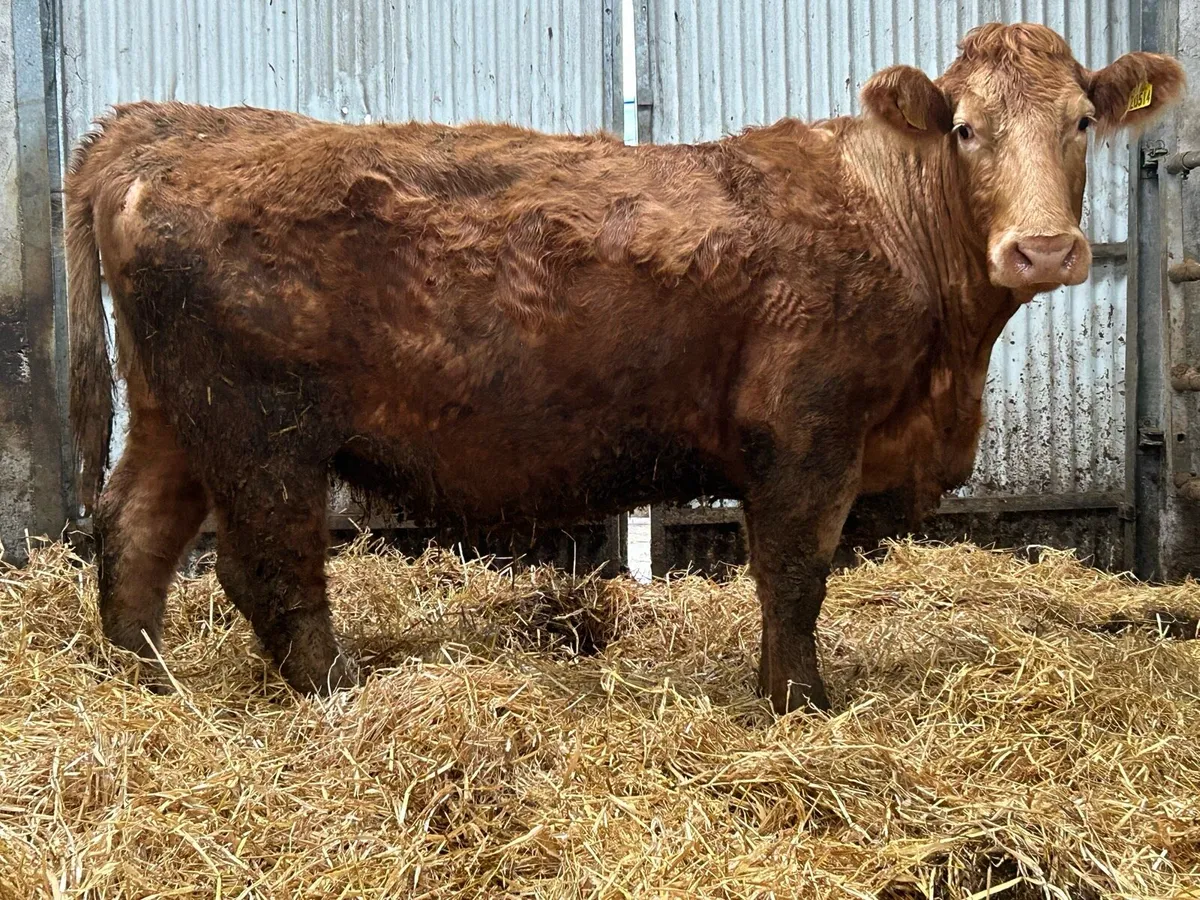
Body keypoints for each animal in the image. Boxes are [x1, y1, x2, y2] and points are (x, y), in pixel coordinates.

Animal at [65, 23, 1184, 713]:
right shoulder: (806, 431)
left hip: (174, 413)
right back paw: (339, 689)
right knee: (267, 567)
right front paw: (798, 703)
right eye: (964, 128)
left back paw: (145, 682)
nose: (1044, 249)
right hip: (261, 428)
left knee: (133, 532)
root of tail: (161, 127)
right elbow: (794, 575)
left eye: (1083, 121)